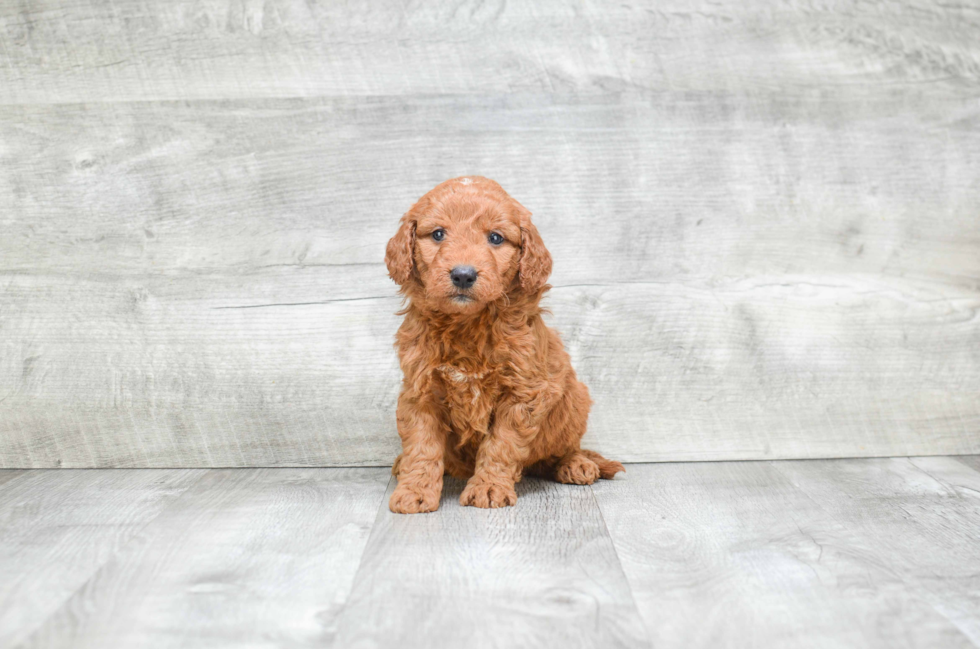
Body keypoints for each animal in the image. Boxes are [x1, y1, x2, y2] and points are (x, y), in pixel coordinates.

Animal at [382, 177, 620, 512]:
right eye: (438, 234)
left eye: (495, 238)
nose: (463, 275)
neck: (467, 324)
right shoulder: (420, 390)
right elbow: (422, 445)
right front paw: (414, 490)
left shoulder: (524, 392)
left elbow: (501, 444)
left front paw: (489, 487)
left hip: (574, 400)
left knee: (565, 447)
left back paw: (576, 464)